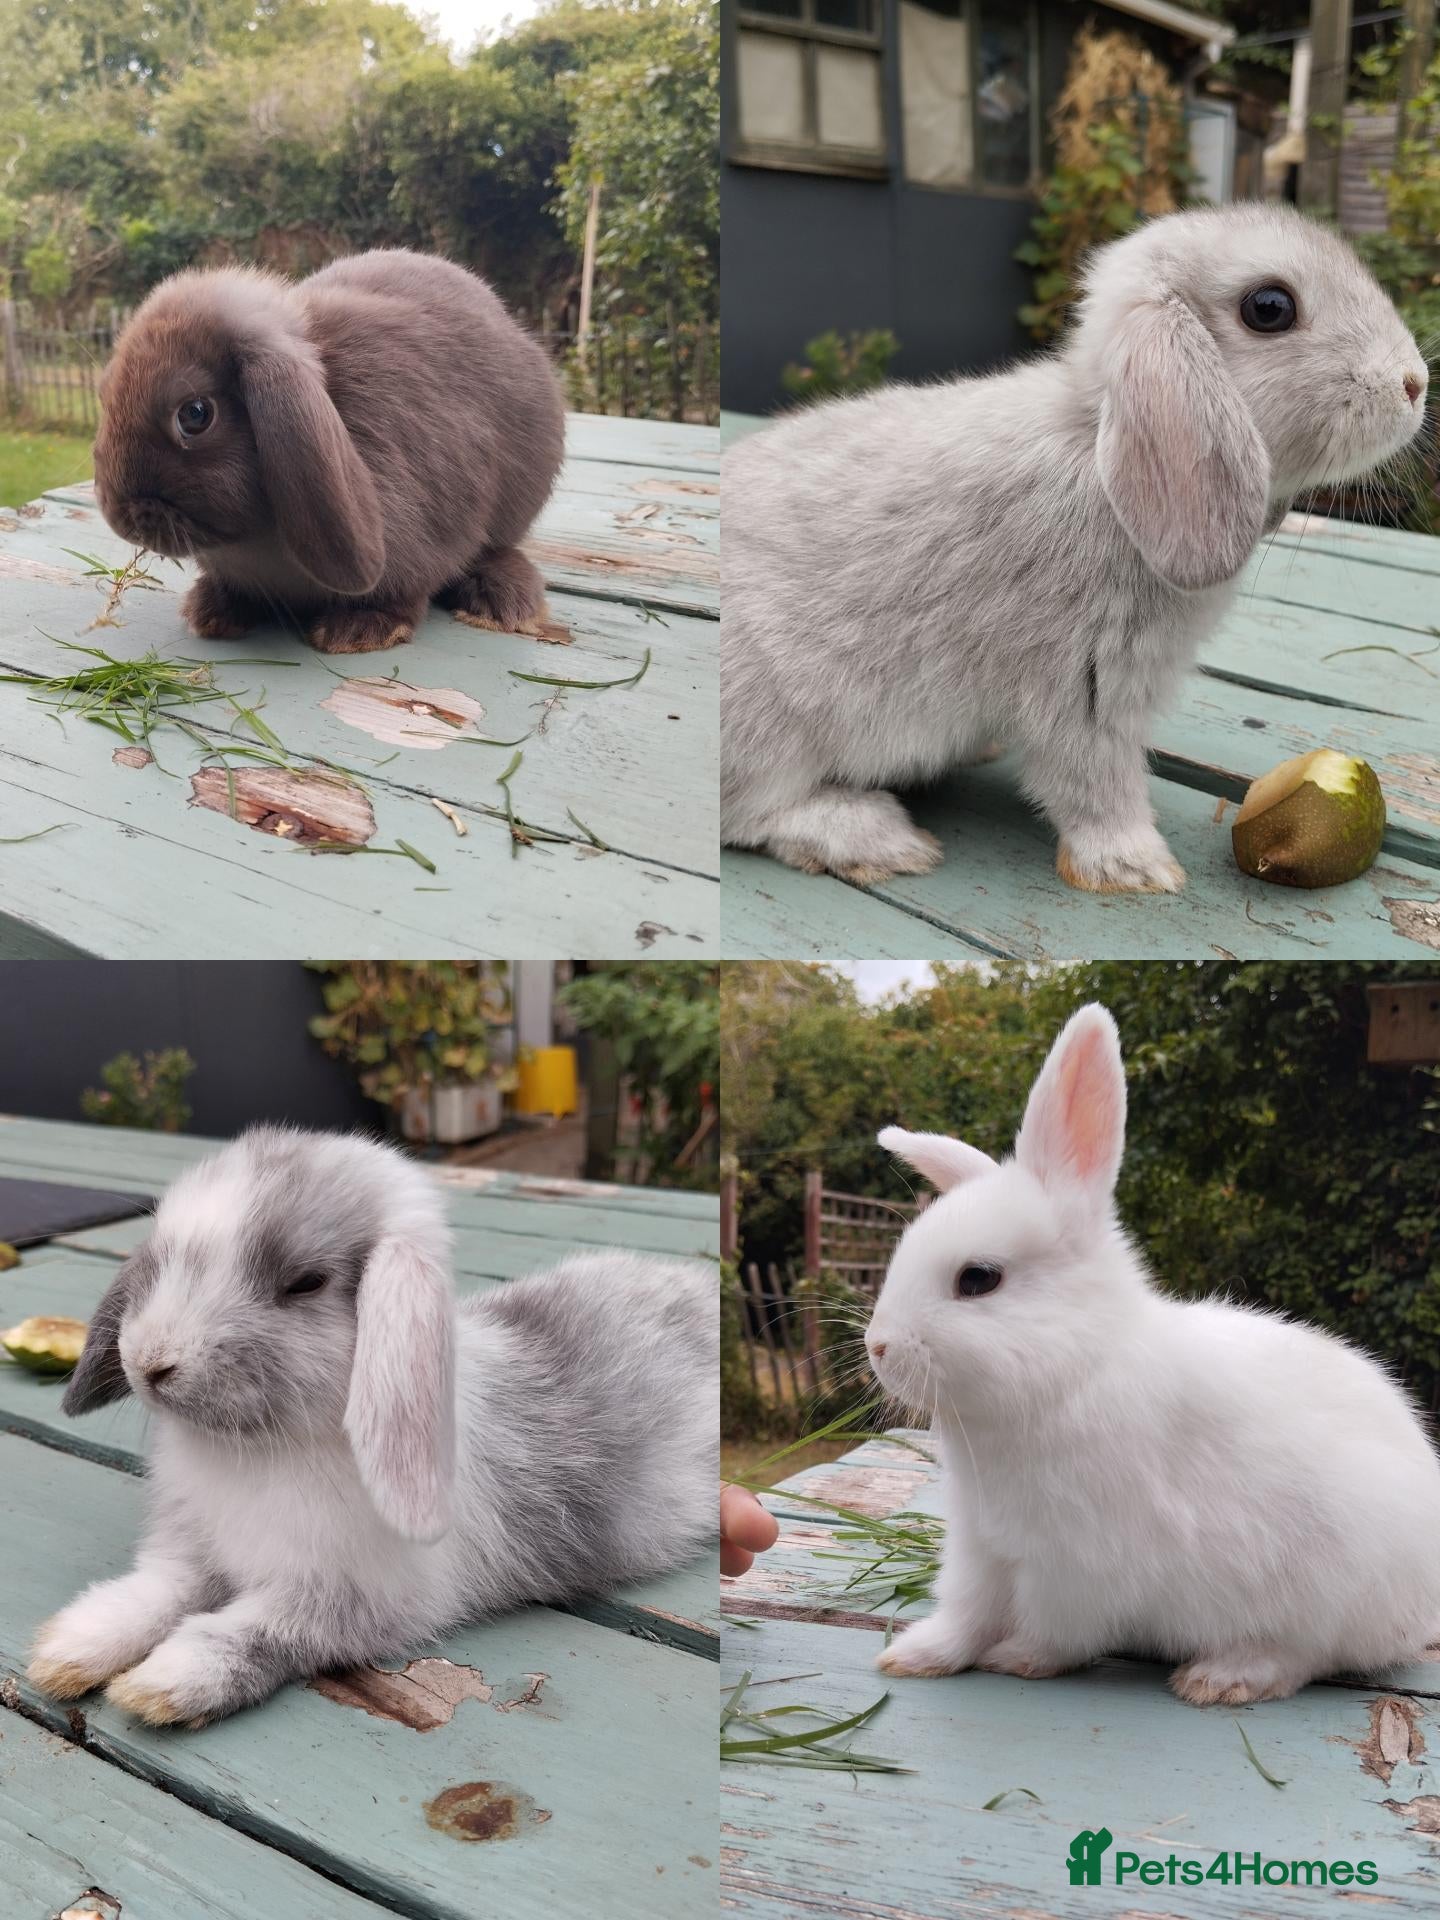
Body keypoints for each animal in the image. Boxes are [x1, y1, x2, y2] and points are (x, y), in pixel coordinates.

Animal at [28, 1126, 716, 1727]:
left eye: (305, 1283)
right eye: (162, 1259)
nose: (151, 1362)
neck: (263, 1450)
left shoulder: (344, 1602)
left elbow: (255, 1631)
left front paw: (163, 1685)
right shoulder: (191, 1556)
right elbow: (155, 1594)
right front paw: (68, 1649)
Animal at [92, 250, 566, 654]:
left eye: (195, 414)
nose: (121, 517)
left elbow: (409, 590)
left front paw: (357, 630)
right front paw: (212, 611)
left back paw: (501, 601)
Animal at [722, 205, 1430, 892]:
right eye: (1270, 307)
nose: (1413, 383)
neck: (1097, 450)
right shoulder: (1084, 686)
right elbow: (1093, 782)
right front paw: (1137, 870)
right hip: (775, 725)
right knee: (753, 812)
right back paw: (880, 840)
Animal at [866, 1003, 1440, 1706]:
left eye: (978, 1278)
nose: (877, 1347)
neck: (1076, 1367)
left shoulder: (1078, 1564)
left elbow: (1057, 1631)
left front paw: (1019, 1659)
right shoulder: (982, 1547)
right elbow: (967, 1613)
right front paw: (914, 1656)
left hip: (1333, 1587)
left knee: (1302, 1656)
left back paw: (1219, 1679)